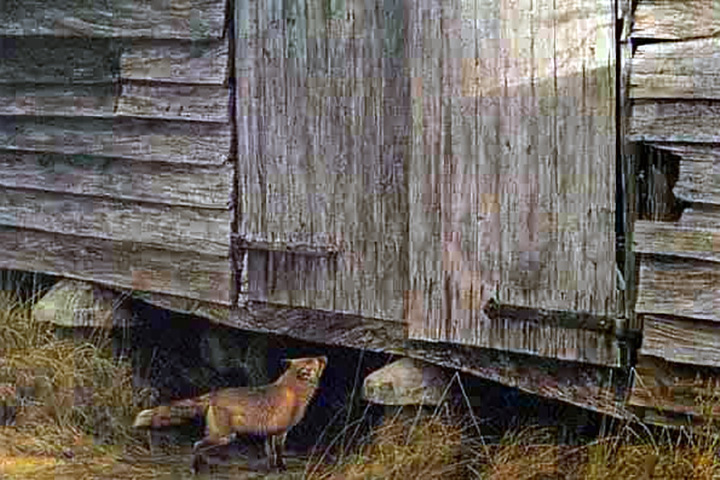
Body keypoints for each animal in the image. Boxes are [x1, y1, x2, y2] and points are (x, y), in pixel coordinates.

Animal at [132, 356, 327, 474]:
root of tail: (214, 394)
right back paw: (196, 468)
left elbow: (269, 453)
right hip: (225, 436)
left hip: (220, 436)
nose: (324, 356)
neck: (294, 389)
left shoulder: (269, 433)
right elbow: (279, 453)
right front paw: (282, 468)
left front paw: (271, 469)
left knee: (200, 446)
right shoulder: (282, 432)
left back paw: (203, 465)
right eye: (314, 361)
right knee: (196, 445)